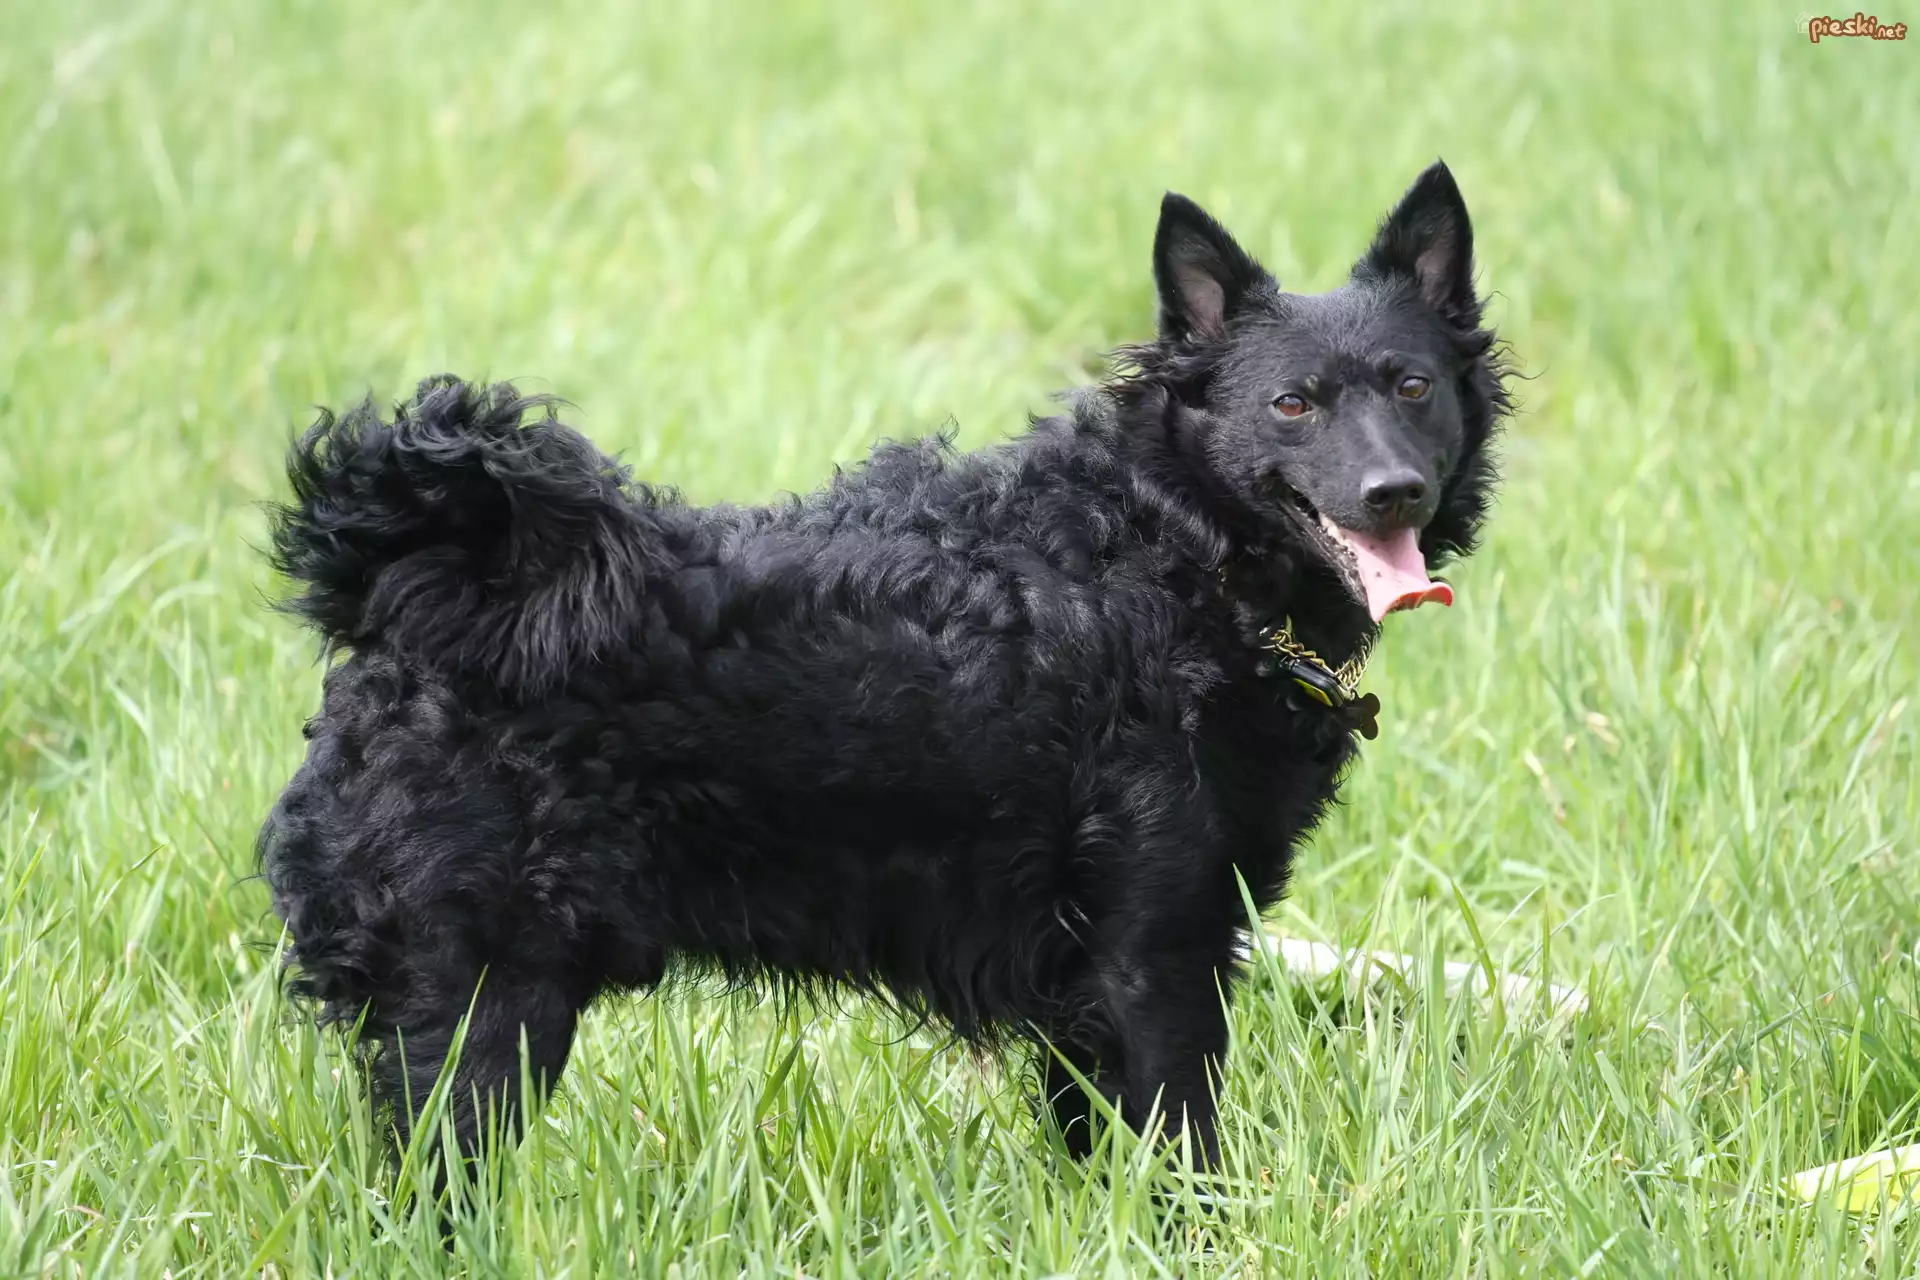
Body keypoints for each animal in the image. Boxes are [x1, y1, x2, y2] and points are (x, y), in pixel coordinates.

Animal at [259, 160, 1511, 1176]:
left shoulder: (1090, 987)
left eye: (1412, 386)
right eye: (1292, 403)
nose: (1394, 492)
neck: (1171, 545)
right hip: (482, 1008)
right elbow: (1179, 1155)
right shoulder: (1156, 952)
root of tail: (406, 594)